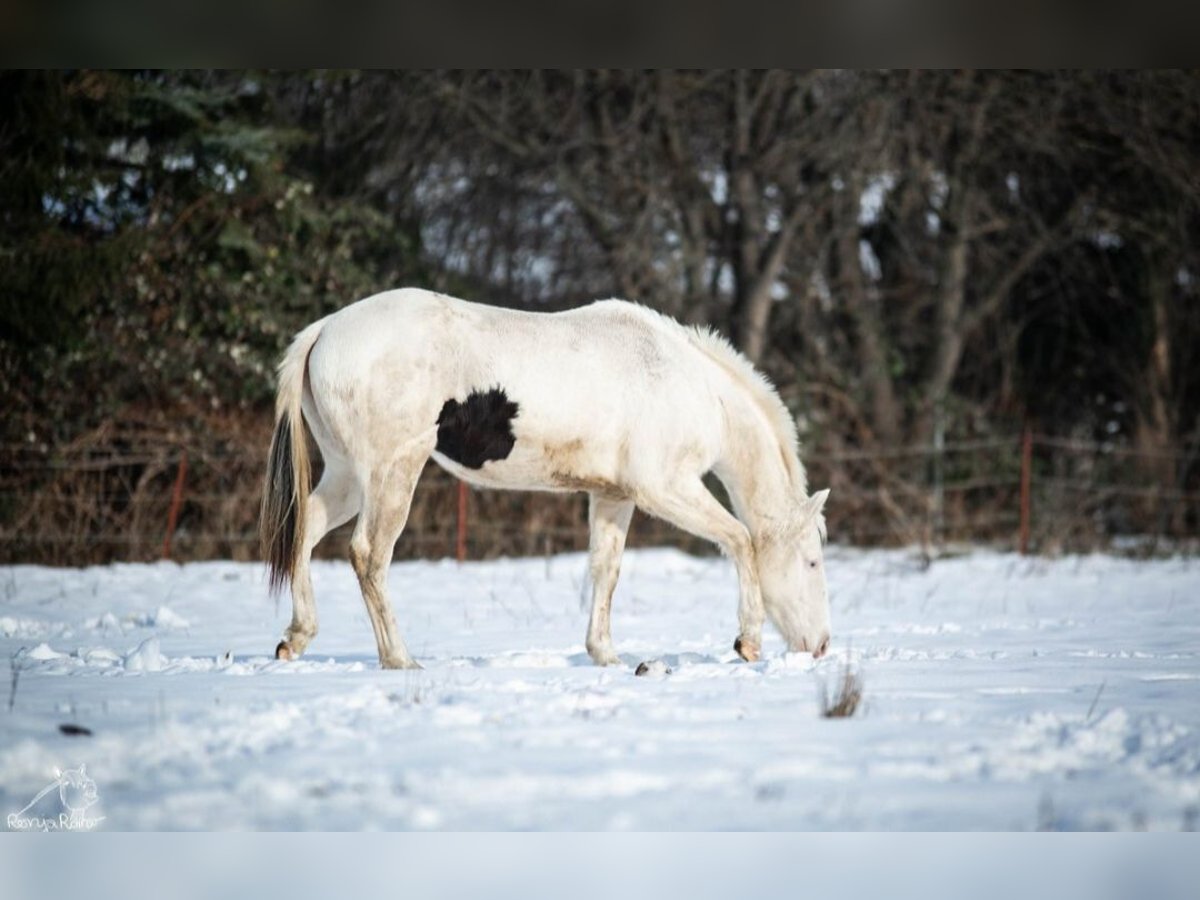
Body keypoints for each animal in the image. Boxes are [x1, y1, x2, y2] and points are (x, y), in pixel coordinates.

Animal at [259, 289, 830, 672]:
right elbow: (741, 540)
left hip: (348, 476)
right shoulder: (665, 488)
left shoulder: (613, 496)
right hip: (392, 473)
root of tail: (325, 329)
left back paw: (296, 638)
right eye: (812, 562)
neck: (689, 383)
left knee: (305, 531)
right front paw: (748, 642)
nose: (822, 646)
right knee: (370, 556)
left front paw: (605, 654)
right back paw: (399, 659)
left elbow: (606, 572)